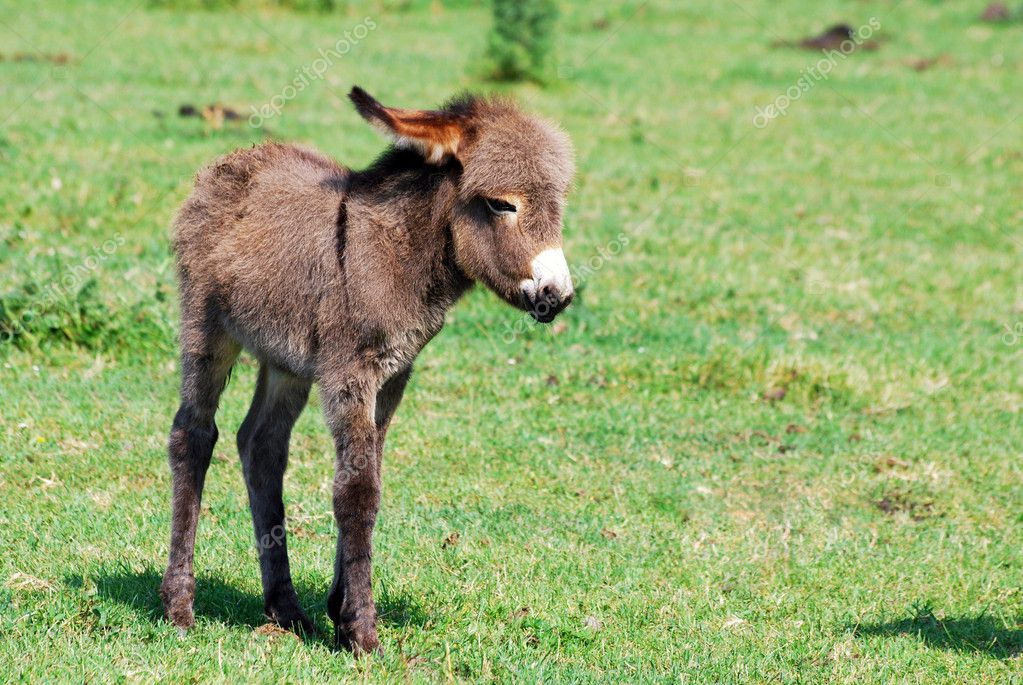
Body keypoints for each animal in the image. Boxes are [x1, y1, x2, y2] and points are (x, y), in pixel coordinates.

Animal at [160, 88, 576, 658]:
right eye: (501, 204)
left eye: (558, 205)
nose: (559, 295)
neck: (398, 255)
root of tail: (231, 161)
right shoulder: (349, 373)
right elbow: (356, 490)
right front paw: (362, 633)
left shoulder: (395, 374)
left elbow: (369, 473)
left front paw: (339, 610)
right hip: (208, 326)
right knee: (194, 435)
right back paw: (179, 609)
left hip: (286, 361)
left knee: (261, 445)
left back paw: (286, 610)